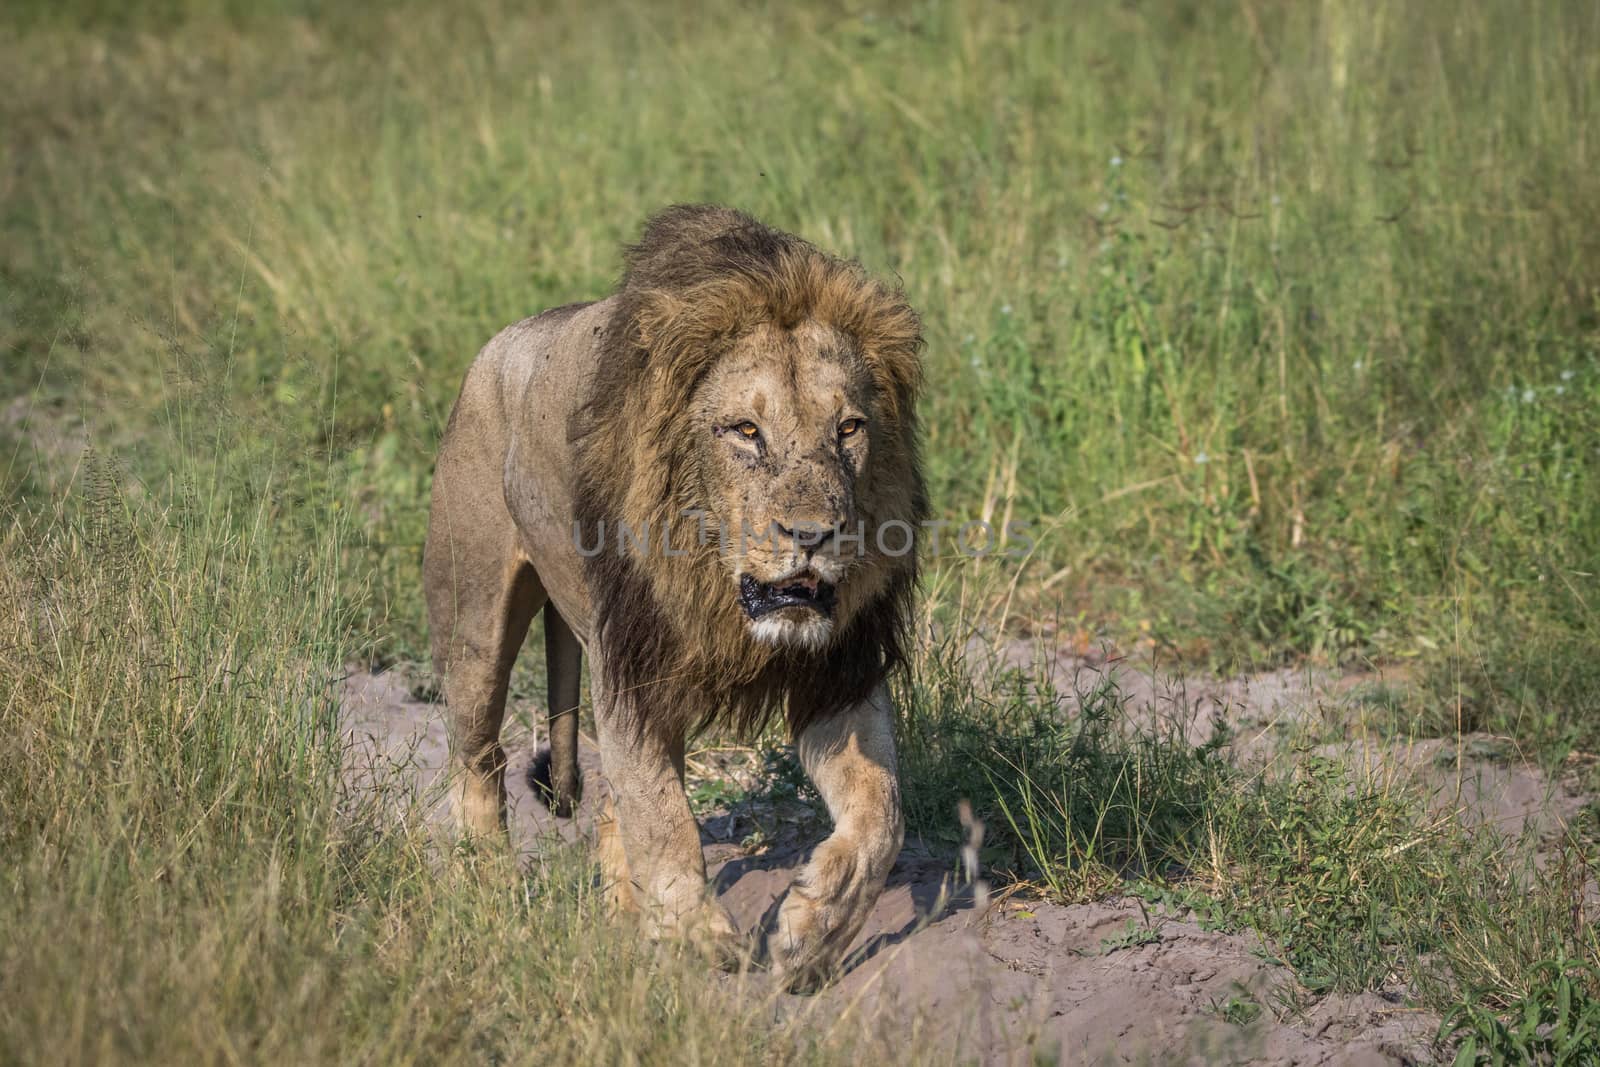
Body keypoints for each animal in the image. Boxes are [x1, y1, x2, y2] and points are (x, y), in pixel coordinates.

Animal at [425, 206, 928, 991]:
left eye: (848, 428)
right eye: (746, 431)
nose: (815, 535)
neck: (716, 587)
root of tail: (501, 342)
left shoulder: (838, 670)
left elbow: (882, 813)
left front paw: (810, 933)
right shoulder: (628, 668)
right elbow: (663, 818)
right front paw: (699, 939)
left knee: (607, 801)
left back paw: (625, 923)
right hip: (474, 620)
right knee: (479, 758)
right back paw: (491, 893)